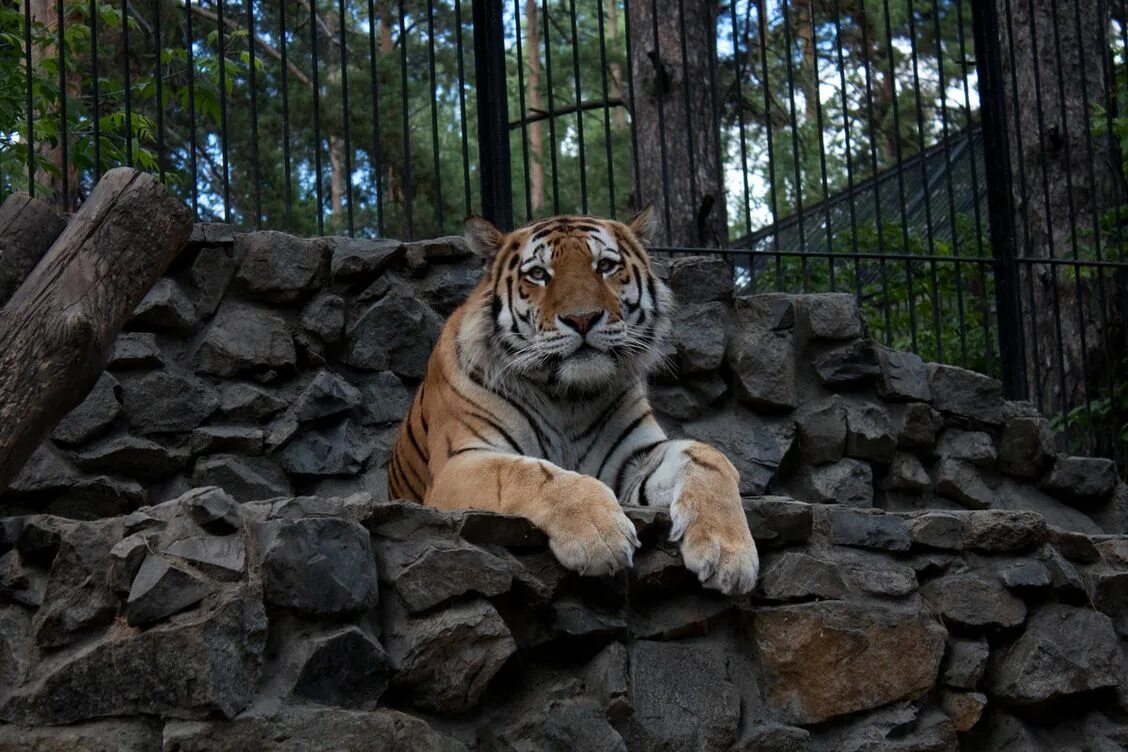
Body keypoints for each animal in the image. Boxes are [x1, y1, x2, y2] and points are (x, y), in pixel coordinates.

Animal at [385, 210, 758, 595]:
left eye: (605, 266)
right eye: (538, 274)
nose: (582, 318)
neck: (567, 397)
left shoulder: (634, 457)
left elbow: (708, 457)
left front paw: (730, 556)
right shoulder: (459, 463)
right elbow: (533, 472)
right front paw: (600, 536)